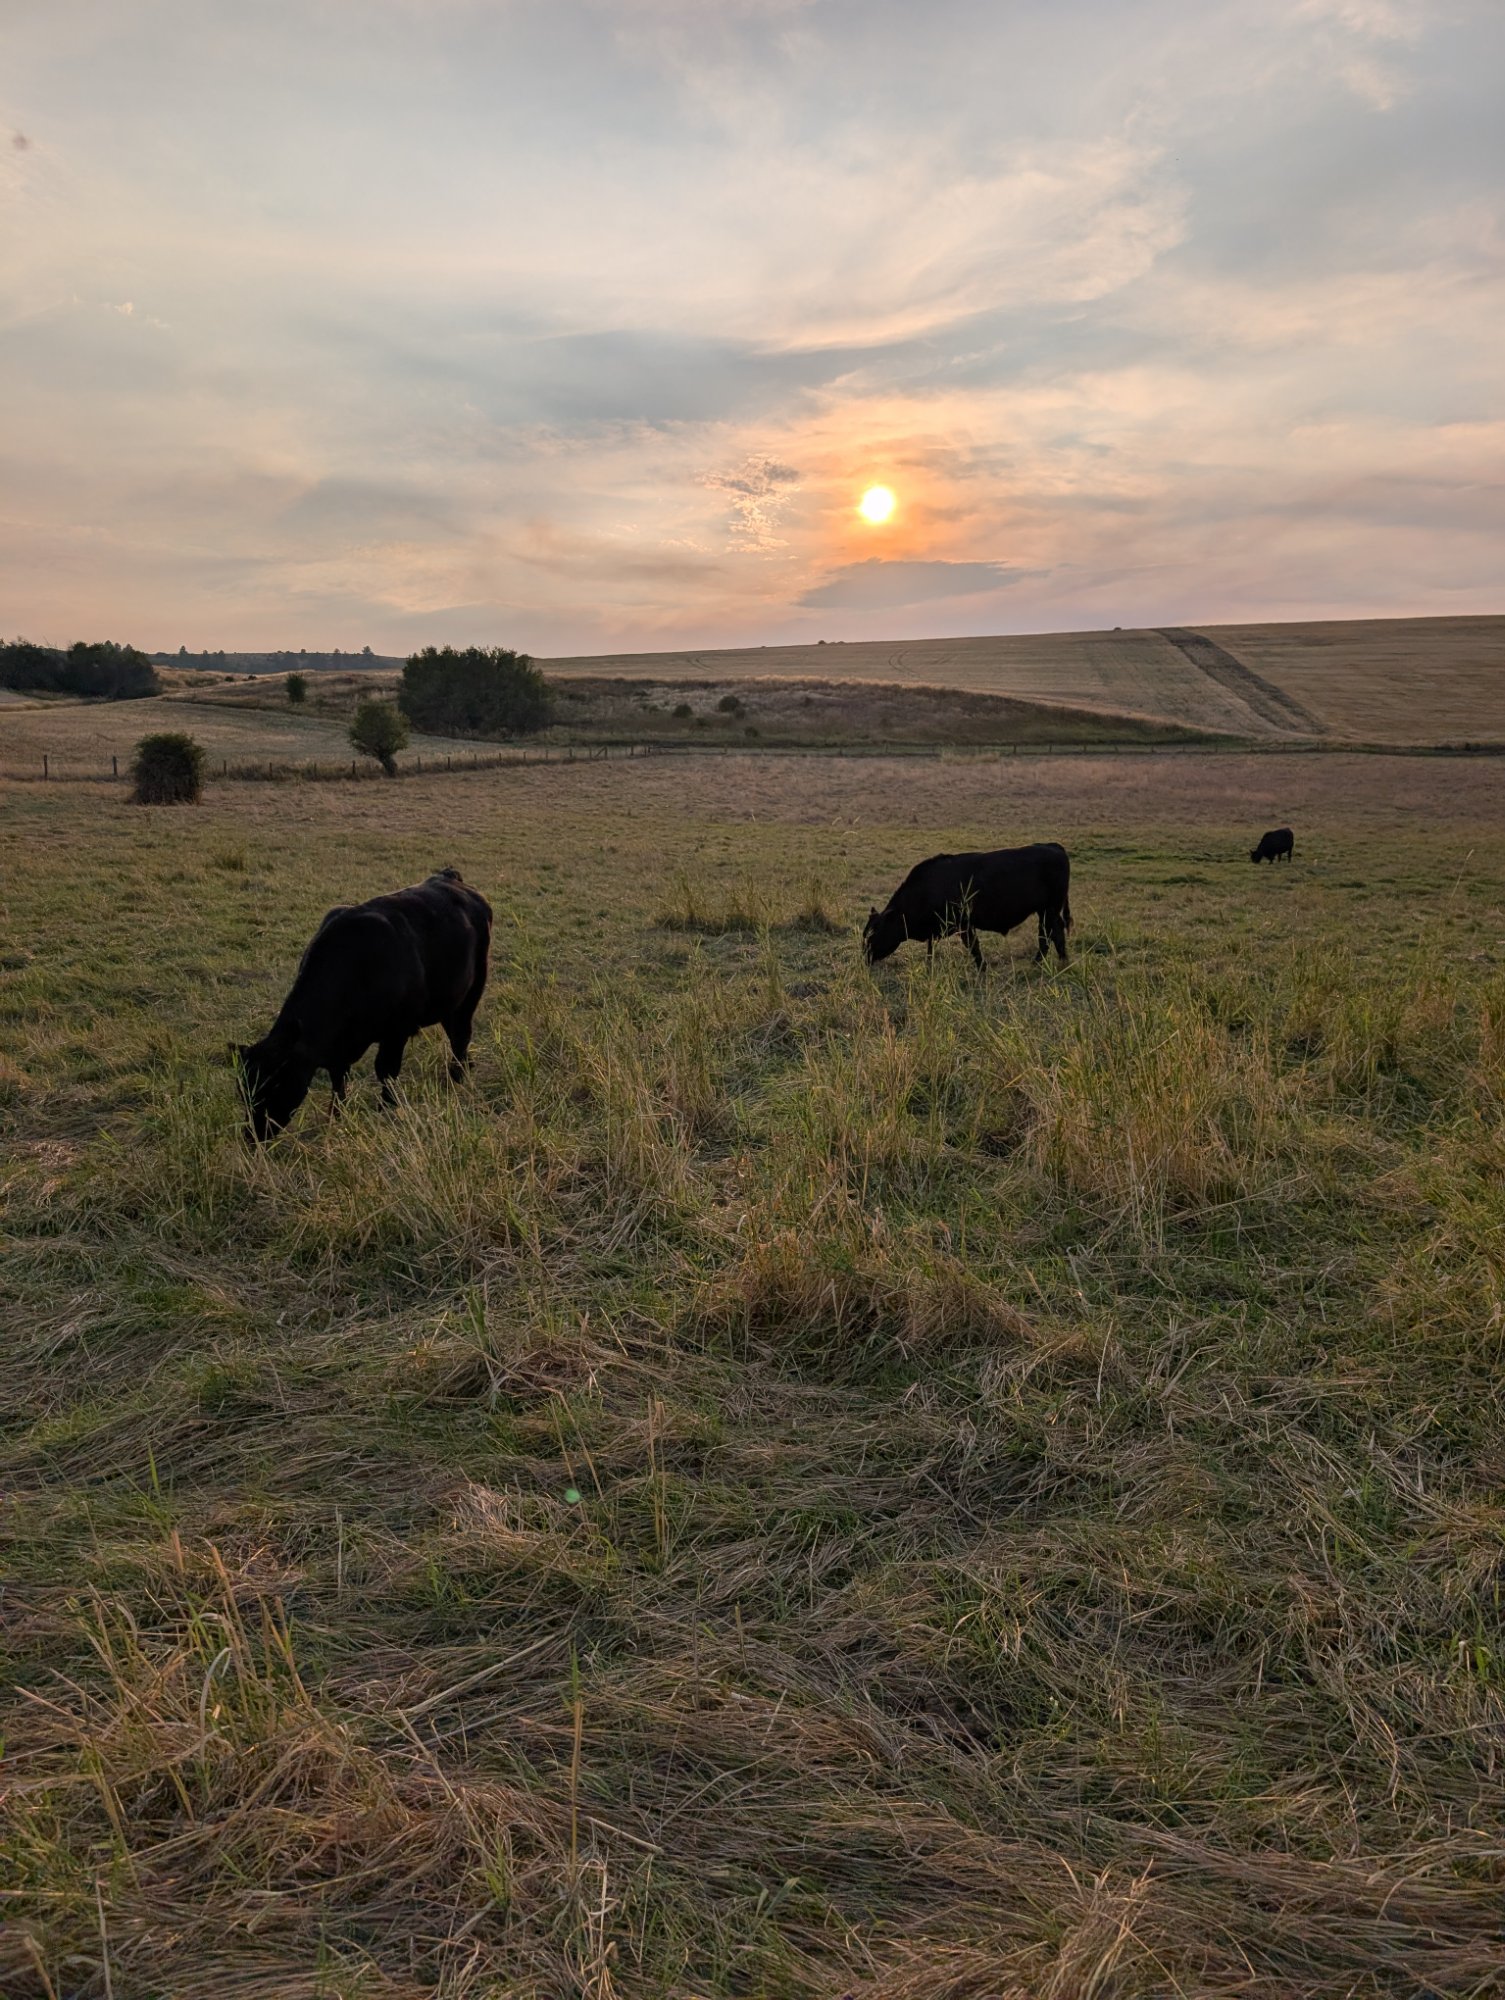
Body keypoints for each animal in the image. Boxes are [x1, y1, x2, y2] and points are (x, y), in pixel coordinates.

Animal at [233, 867, 492, 1141]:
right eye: (243, 1091)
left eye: (276, 1084)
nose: (253, 1136)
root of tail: (449, 877)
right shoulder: (338, 1048)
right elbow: (338, 1079)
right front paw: (337, 1116)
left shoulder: (396, 1032)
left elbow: (386, 1070)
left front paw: (386, 1108)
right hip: (448, 1002)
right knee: (454, 1033)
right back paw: (465, 1067)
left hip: (472, 991)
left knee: (461, 1035)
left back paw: (457, 1076)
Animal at [863, 842, 1072, 970]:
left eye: (873, 934)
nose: (865, 957)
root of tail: (1052, 846)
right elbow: (931, 951)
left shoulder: (964, 925)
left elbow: (973, 947)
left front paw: (982, 969)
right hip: (1044, 911)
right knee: (1049, 934)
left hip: (1050, 909)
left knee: (1052, 933)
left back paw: (1052, 961)